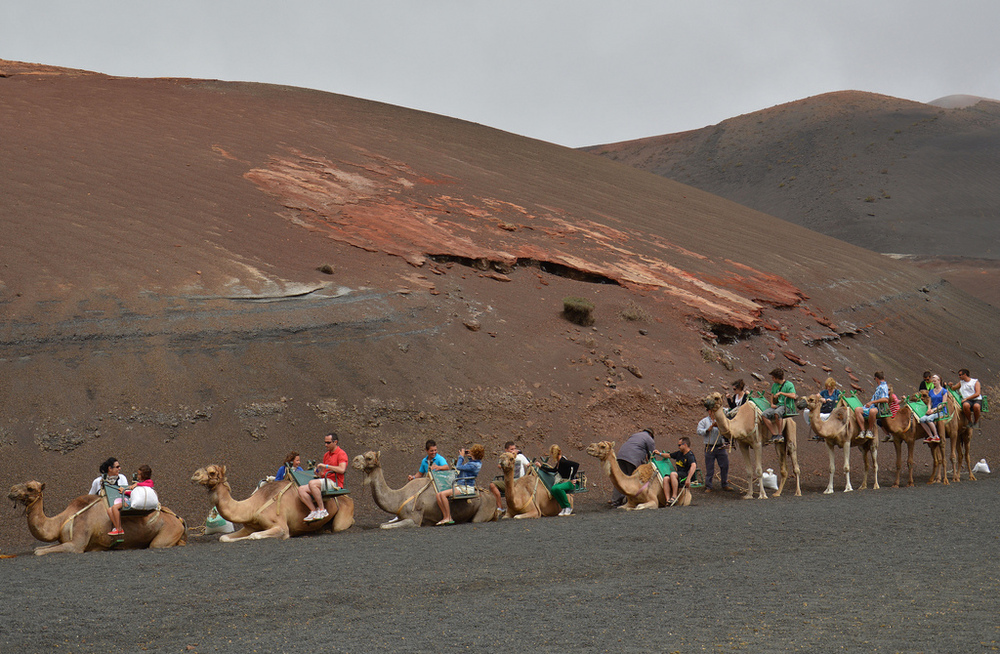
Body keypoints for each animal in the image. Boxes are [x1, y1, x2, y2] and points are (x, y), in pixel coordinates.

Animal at [8, 482, 188, 560]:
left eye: (30, 488)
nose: (11, 490)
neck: (61, 521)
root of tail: (178, 519)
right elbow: (40, 547)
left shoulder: (77, 545)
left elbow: (39, 551)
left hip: (167, 532)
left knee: (158, 544)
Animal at [352, 452, 500, 528]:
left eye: (369, 457)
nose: (354, 460)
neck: (399, 497)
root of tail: (491, 496)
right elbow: (384, 524)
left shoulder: (415, 519)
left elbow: (384, 526)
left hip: (483, 510)